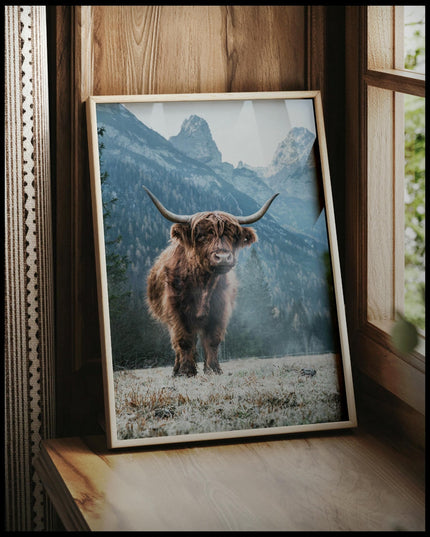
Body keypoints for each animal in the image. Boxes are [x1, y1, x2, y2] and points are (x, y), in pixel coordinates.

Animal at [144, 186, 278, 374]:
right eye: (201, 236)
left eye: (233, 236)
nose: (222, 257)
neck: (203, 284)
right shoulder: (177, 313)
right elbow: (184, 341)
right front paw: (186, 371)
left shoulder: (219, 311)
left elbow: (213, 340)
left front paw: (213, 369)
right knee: (177, 344)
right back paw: (176, 370)